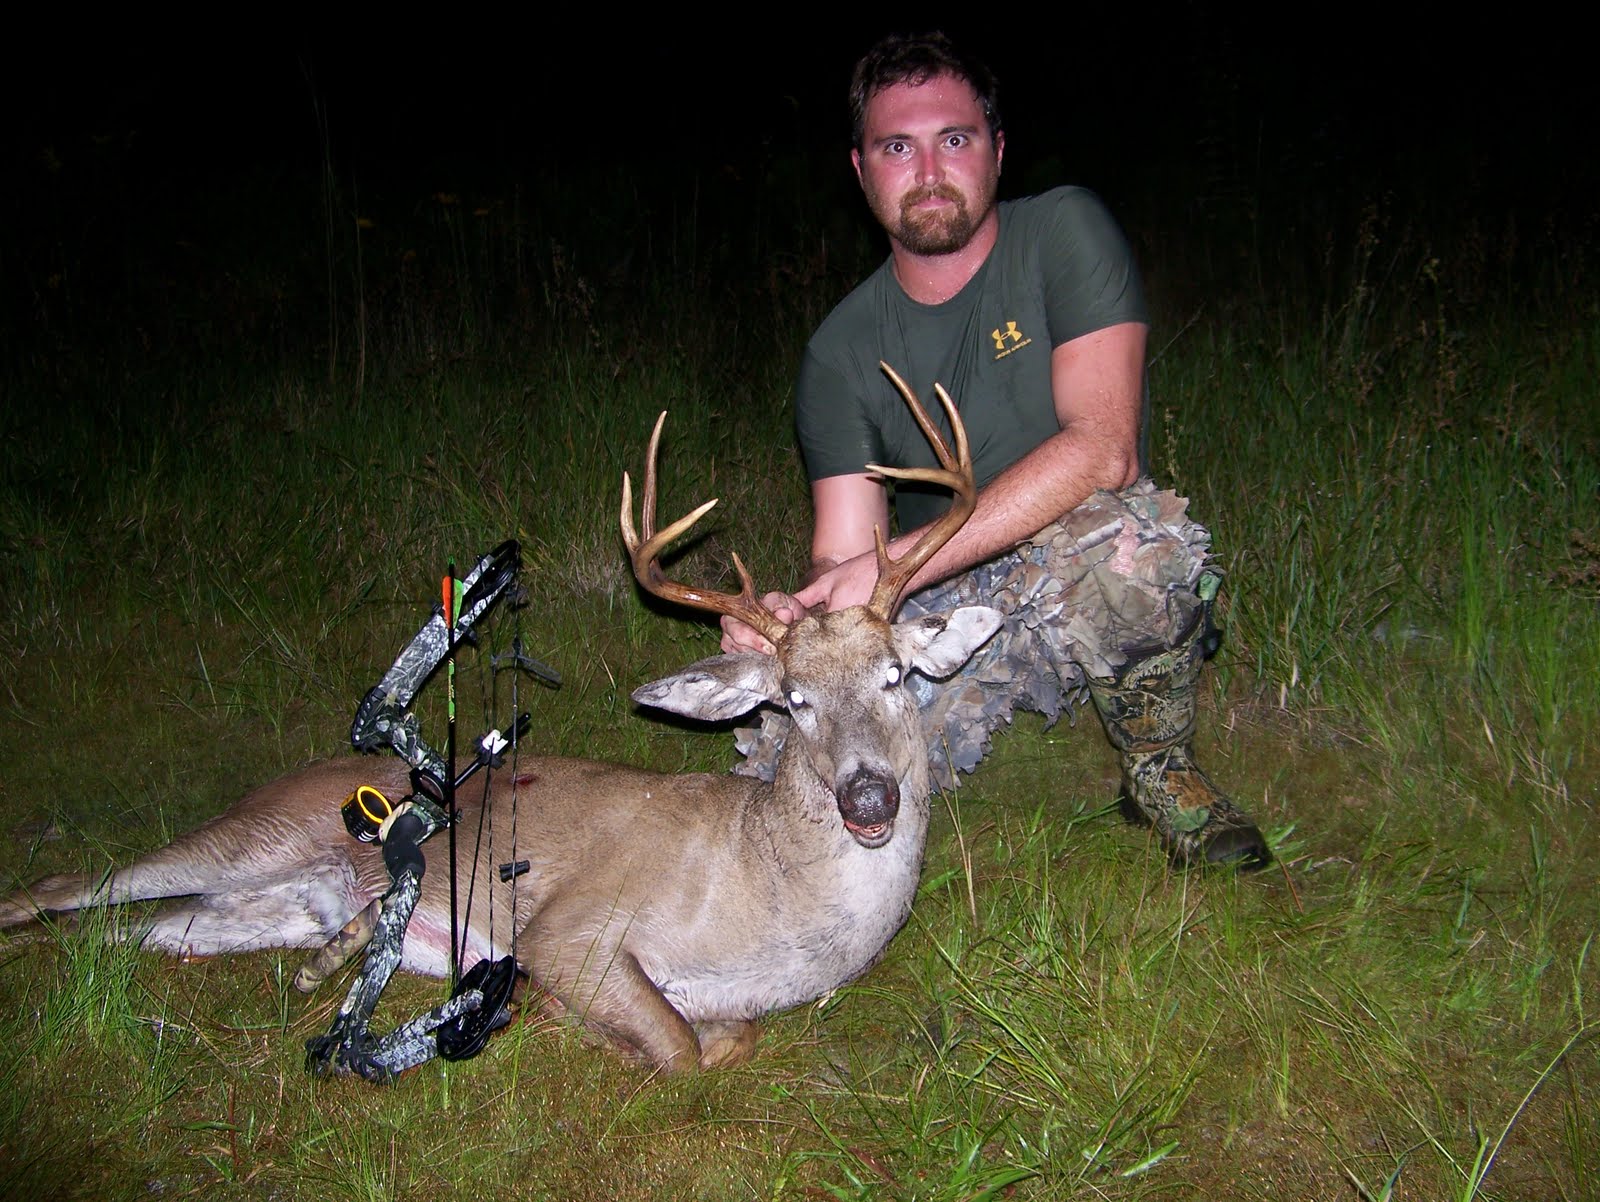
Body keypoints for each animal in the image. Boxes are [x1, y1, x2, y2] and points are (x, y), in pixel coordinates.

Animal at [0, 365, 1003, 1075]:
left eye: (895, 676)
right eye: (792, 702)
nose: (869, 800)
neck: (776, 910)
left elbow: (728, 1039)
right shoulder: (571, 927)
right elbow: (679, 1049)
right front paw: (561, 1019)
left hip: (261, 904)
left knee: (129, 929)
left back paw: (330, 955)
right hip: (253, 834)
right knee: (62, 887)